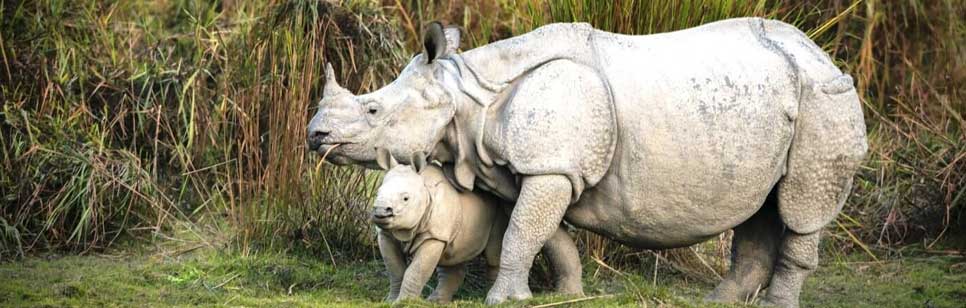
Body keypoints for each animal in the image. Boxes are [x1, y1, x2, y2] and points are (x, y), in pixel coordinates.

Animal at [370, 158, 510, 302]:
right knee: (452, 257)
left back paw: (491, 298)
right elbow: (395, 269)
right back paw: (435, 301)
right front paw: (390, 301)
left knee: (493, 254)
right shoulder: (385, 234)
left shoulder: (433, 236)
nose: (380, 211)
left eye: (405, 198)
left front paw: (403, 302)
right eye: (377, 193)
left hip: (499, 210)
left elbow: (415, 271)